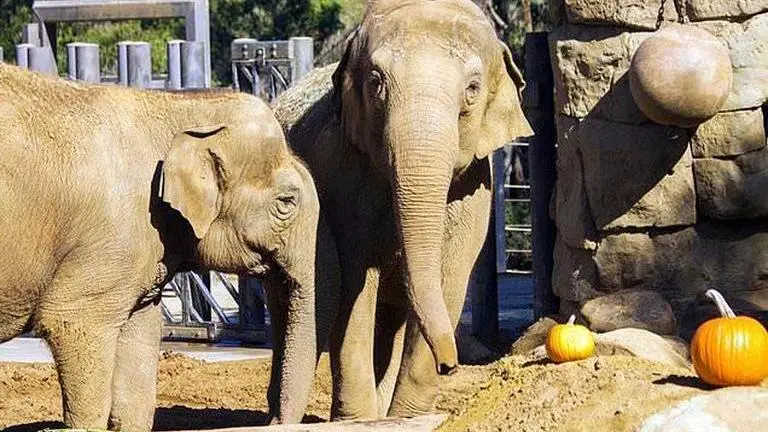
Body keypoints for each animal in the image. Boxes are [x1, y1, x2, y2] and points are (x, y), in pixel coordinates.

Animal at [0, 64, 339, 430]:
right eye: (286, 202)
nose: (272, 419)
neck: (175, 106)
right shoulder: (112, 237)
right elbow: (71, 320)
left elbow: (140, 340)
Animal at [272, 0, 533, 420]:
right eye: (376, 82)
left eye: (472, 90)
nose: (451, 364)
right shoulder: (343, 178)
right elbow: (354, 285)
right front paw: (358, 421)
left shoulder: (475, 190)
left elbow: (448, 282)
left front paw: (407, 418)